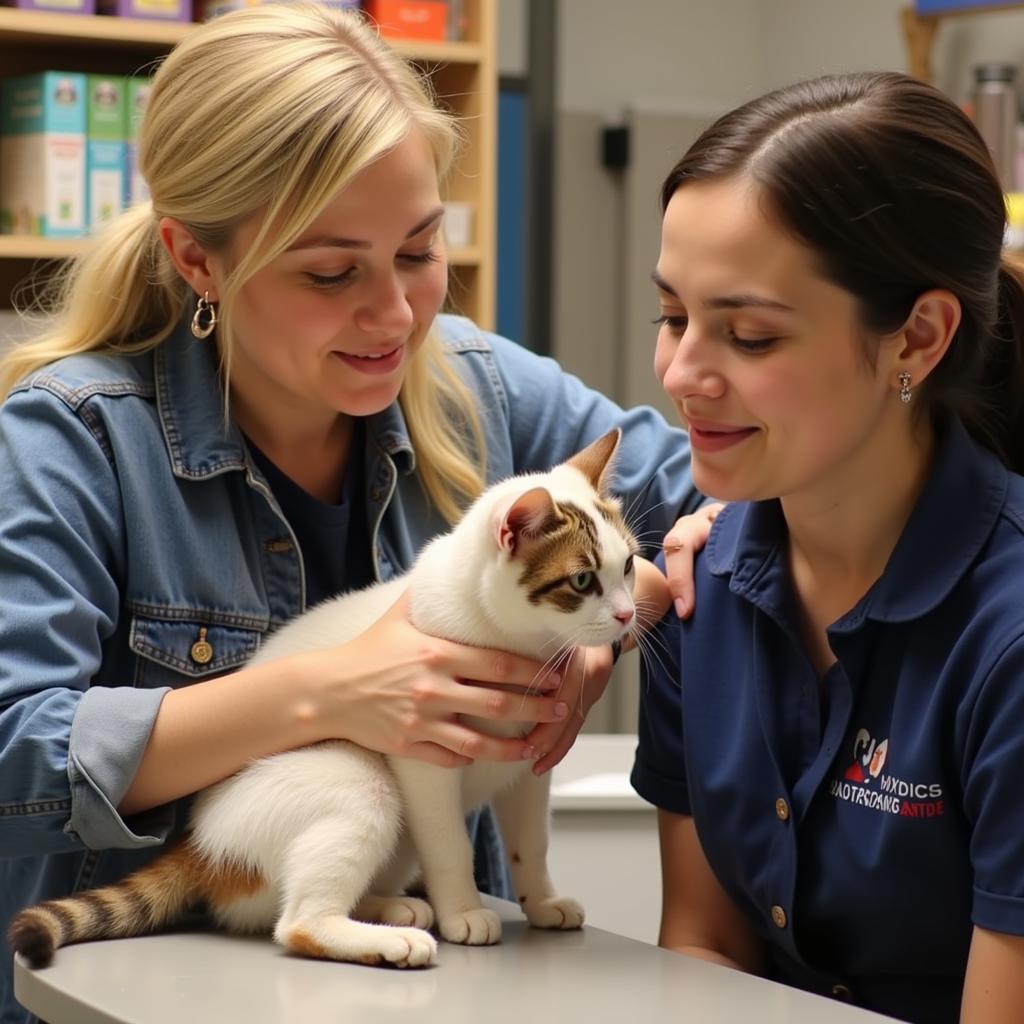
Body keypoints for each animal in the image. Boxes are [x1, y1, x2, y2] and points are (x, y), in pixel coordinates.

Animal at [12, 428, 651, 970]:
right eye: (582, 581)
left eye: (629, 566)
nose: (626, 616)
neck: (520, 643)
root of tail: (201, 846)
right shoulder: (424, 760)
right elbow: (449, 845)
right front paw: (465, 910)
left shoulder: (528, 767)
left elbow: (530, 844)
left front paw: (541, 901)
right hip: (362, 781)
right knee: (296, 922)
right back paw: (392, 939)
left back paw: (393, 908)